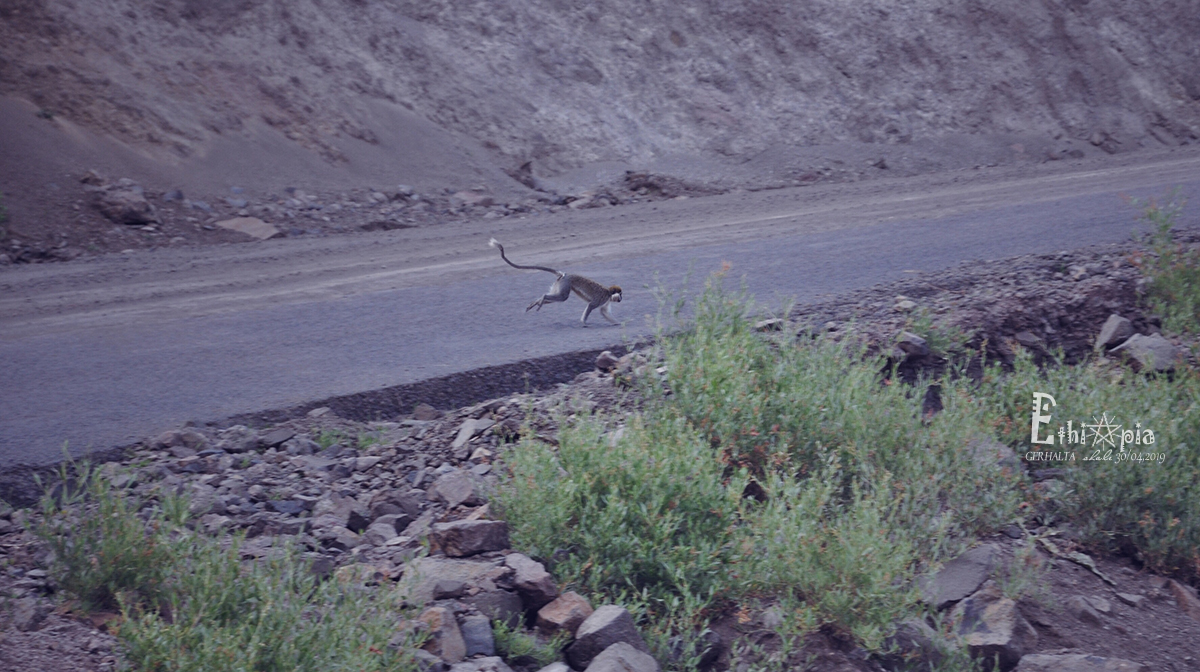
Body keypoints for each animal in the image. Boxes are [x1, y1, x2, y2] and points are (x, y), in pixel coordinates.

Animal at [487, 237, 624, 326]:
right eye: (620, 294)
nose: (621, 299)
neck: (608, 293)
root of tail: (564, 274)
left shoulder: (605, 301)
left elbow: (604, 312)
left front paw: (617, 323)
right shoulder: (602, 299)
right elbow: (591, 306)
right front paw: (584, 322)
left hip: (559, 284)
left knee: (556, 297)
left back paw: (537, 302)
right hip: (566, 284)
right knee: (562, 297)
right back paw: (542, 299)